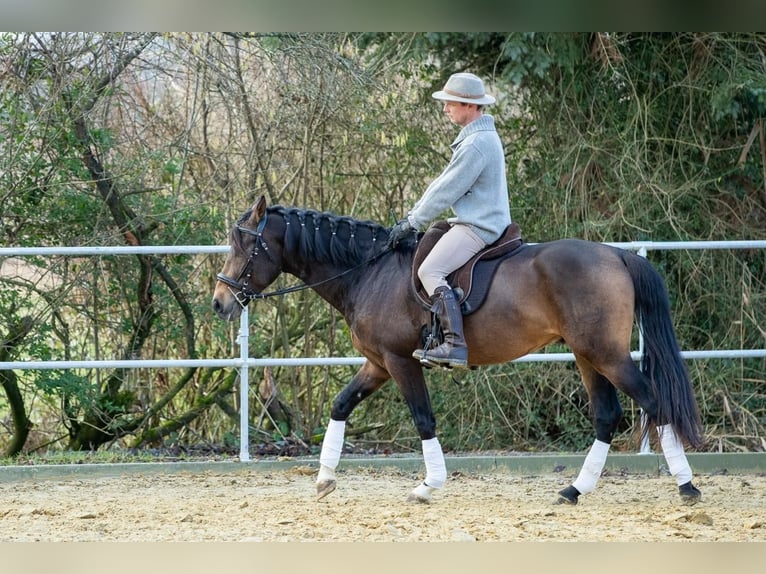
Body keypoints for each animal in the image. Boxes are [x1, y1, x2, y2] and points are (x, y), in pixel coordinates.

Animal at [212, 196, 704, 506]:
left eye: (245, 244)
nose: (219, 302)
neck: (369, 272)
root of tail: (617, 254)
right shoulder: (377, 364)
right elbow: (340, 405)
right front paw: (324, 479)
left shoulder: (400, 362)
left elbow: (423, 419)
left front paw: (429, 485)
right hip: (587, 356)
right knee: (607, 415)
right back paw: (574, 491)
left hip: (607, 355)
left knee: (655, 403)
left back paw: (687, 487)